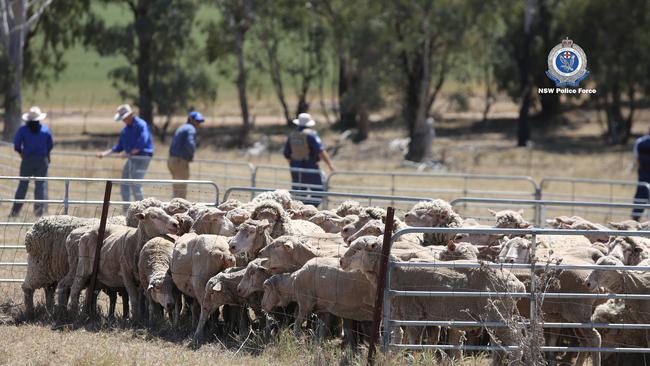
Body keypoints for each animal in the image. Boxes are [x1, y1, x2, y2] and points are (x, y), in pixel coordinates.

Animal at [336, 236, 524, 362]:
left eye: (358, 249)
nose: (341, 261)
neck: (394, 272)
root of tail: (518, 283)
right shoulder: (397, 315)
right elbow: (397, 339)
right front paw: (393, 358)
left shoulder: (413, 315)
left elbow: (414, 342)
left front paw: (410, 359)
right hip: (501, 317)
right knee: (499, 347)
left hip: (498, 316)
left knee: (515, 346)